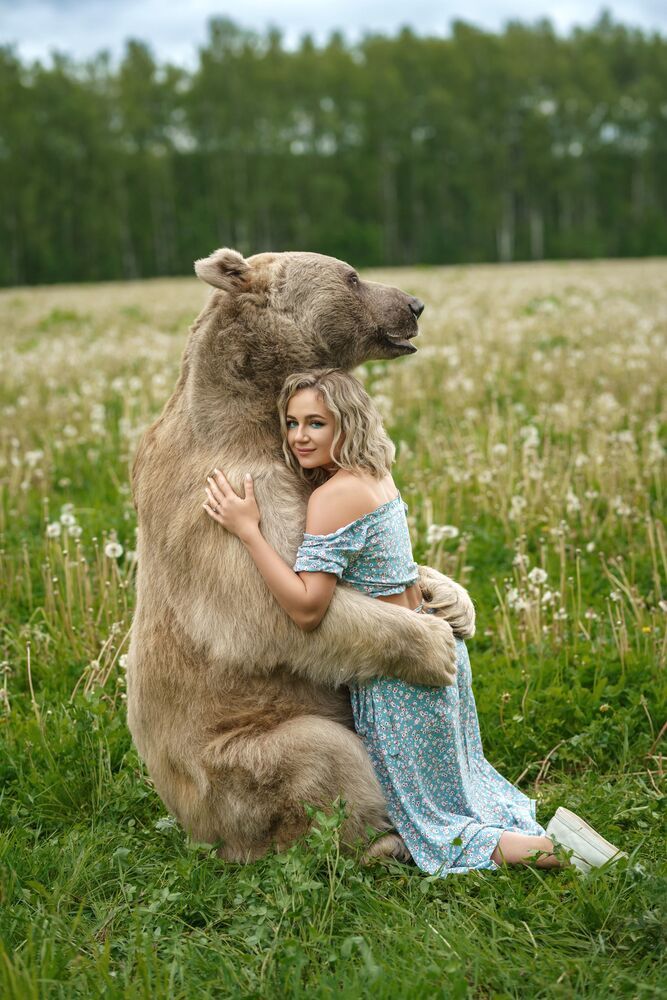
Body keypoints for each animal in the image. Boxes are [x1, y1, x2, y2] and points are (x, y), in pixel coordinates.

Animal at [127, 248, 475, 862]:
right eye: (352, 276)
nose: (414, 304)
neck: (254, 407)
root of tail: (199, 833)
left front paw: (454, 602)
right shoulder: (231, 493)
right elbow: (273, 609)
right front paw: (433, 645)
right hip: (233, 765)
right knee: (322, 757)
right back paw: (381, 841)